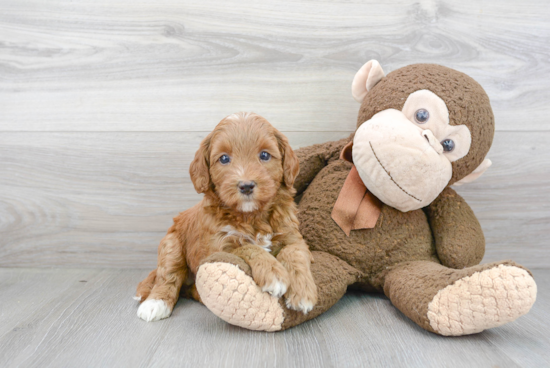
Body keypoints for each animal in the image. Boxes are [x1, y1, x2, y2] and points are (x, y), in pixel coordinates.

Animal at [136, 110, 320, 320]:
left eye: (264, 155)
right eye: (224, 159)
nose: (246, 186)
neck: (252, 216)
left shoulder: (292, 236)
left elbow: (294, 253)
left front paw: (303, 292)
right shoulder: (216, 247)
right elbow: (248, 247)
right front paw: (274, 273)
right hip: (171, 244)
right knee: (168, 276)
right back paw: (155, 304)